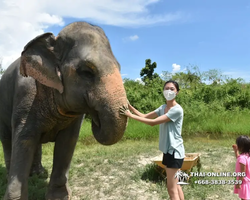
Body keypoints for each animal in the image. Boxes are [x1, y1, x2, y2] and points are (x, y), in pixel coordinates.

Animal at [0, 21, 129, 199]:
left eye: (119, 66)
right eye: (87, 72)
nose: (96, 120)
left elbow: (67, 142)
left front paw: (59, 196)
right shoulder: (25, 96)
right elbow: (24, 139)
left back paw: (38, 174)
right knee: (7, 140)